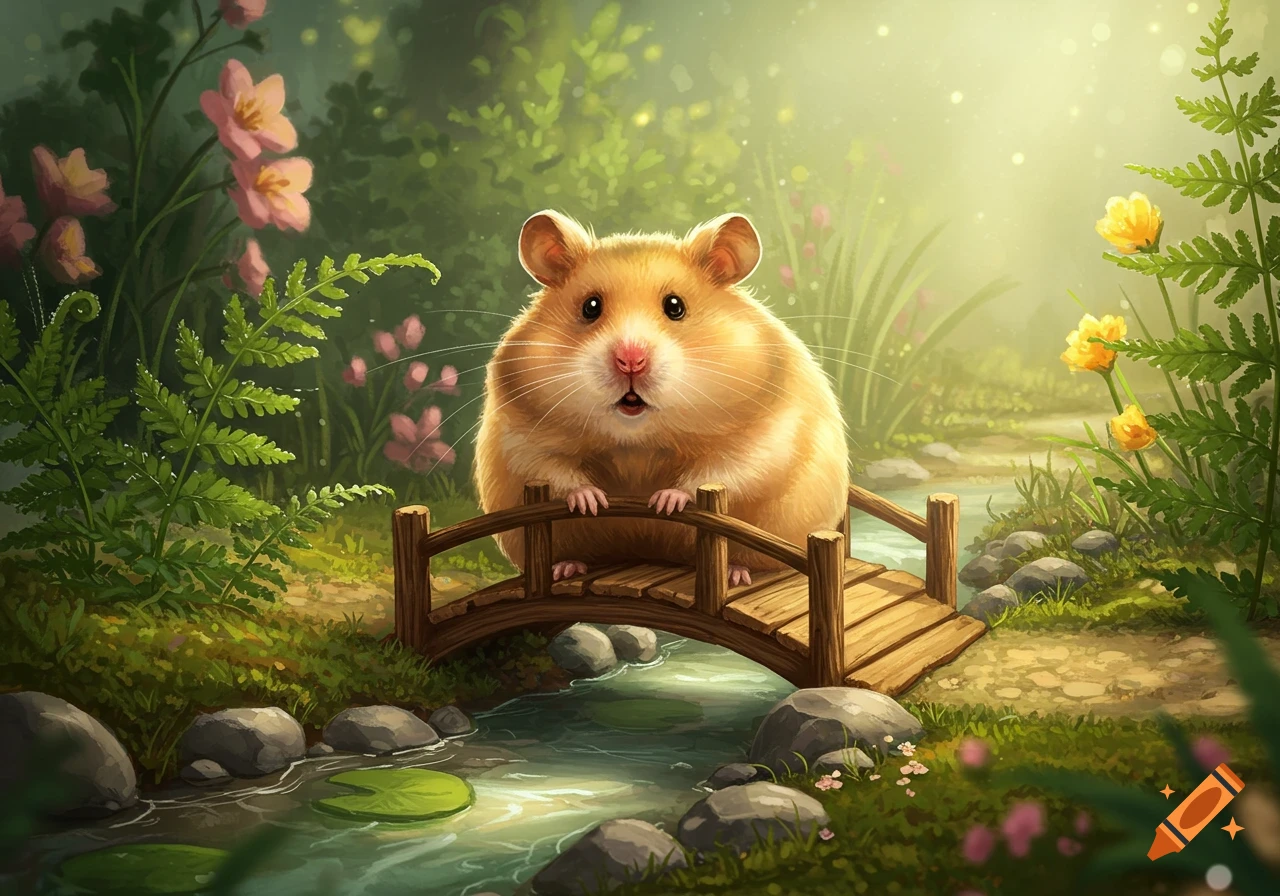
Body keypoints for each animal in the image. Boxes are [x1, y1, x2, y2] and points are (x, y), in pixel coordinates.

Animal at [473, 209, 850, 586]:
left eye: (675, 306)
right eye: (590, 307)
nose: (630, 360)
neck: (638, 441)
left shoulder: (768, 432)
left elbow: (722, 473)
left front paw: (663, 502)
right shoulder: (519, 433)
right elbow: (552, 471)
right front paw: (593, 501)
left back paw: (735, 574)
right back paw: (567, 567)